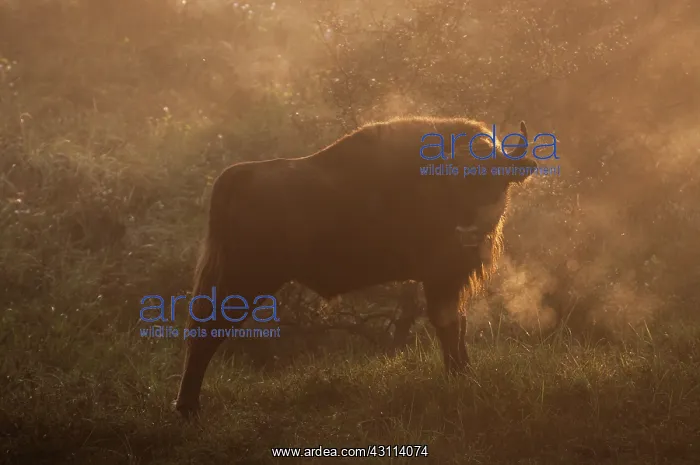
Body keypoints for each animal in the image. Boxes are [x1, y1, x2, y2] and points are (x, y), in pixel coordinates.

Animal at [174, 116, 538, 417]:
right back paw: (188, 408)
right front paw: (457, 375)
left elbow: (457, 325)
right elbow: (448, 326)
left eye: (495, 181)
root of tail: (237, 176)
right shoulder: (439, 279)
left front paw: (463, 372)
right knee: (206, 331)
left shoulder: (450, 281)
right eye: (454, 183)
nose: (467, 232)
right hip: (245, 279)